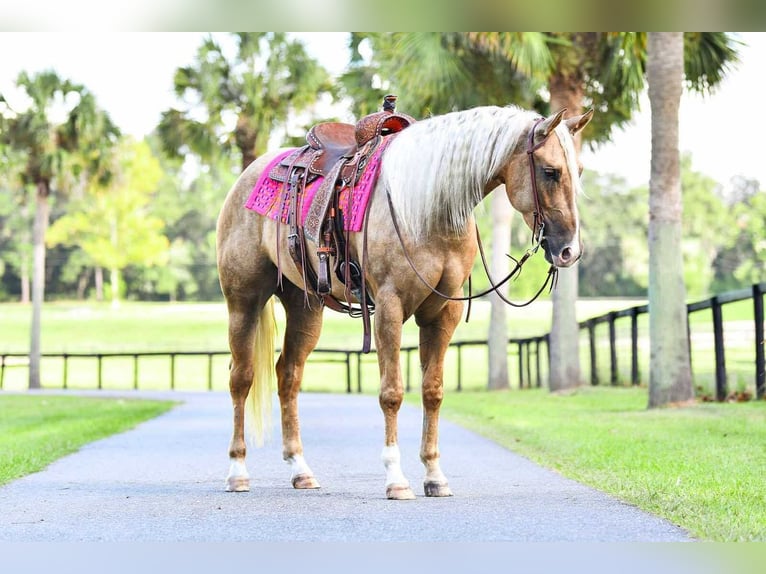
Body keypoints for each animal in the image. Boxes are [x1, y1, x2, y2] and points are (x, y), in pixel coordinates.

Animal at [216, 104, 593, 499]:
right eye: (550, 172)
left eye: (579, 171)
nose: (570, 251)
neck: (426, 207)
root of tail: (250, 174)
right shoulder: (389, 307)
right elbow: (392, 393)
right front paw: (396, 479)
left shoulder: (444, 312)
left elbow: (432, 391)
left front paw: (434, 475)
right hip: (243, 302)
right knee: (241, 377)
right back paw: (237, 471)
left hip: (305, 307)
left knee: (288, 376)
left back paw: (301, 470)